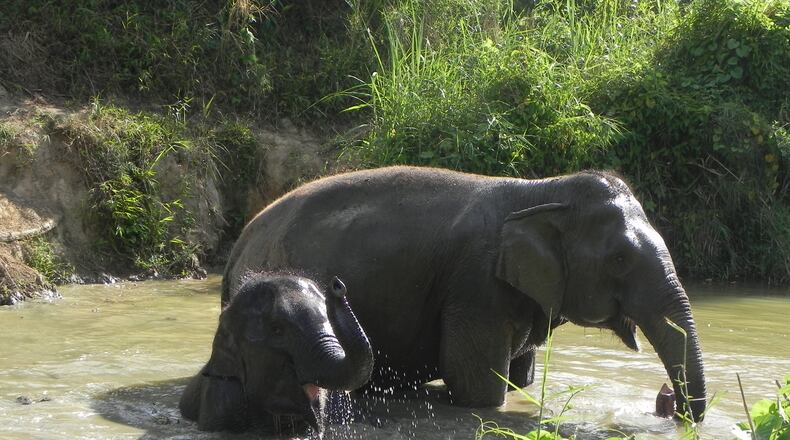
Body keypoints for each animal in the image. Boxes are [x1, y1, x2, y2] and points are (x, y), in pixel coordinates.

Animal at [221, 166, 707, 422]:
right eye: (620, 259)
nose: (668, 405)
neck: (542, 190)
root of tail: (237, 248)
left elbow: (520, 380)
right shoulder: (475, 286)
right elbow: (478, 388)